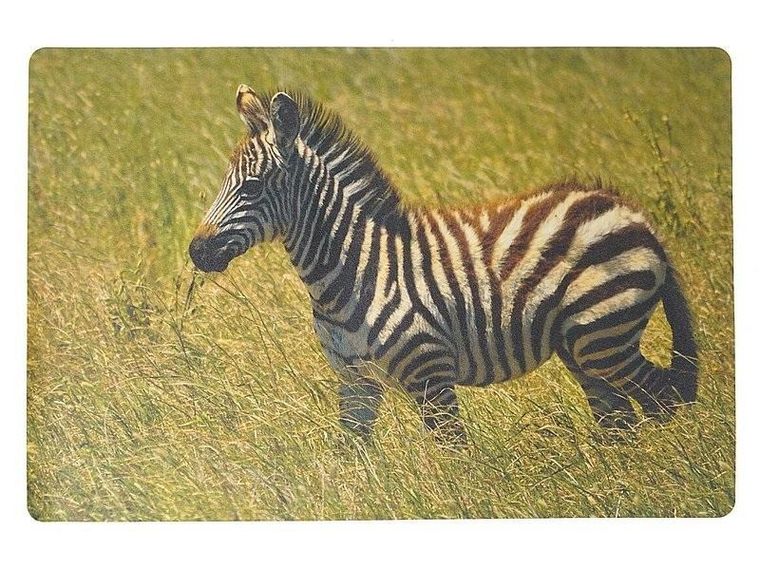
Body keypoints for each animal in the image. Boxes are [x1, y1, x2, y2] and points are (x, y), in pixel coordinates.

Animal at [189, 85, 698, 444]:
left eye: (253, 187)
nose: (196, 252)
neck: (355, 269)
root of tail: (633, 213)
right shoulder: (355, 383)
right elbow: (350, 460)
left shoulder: (430, 375)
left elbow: (455, 457)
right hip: (581, 346)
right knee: (621, 421)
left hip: (604, 336)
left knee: (663, 400)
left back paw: (668, 472)